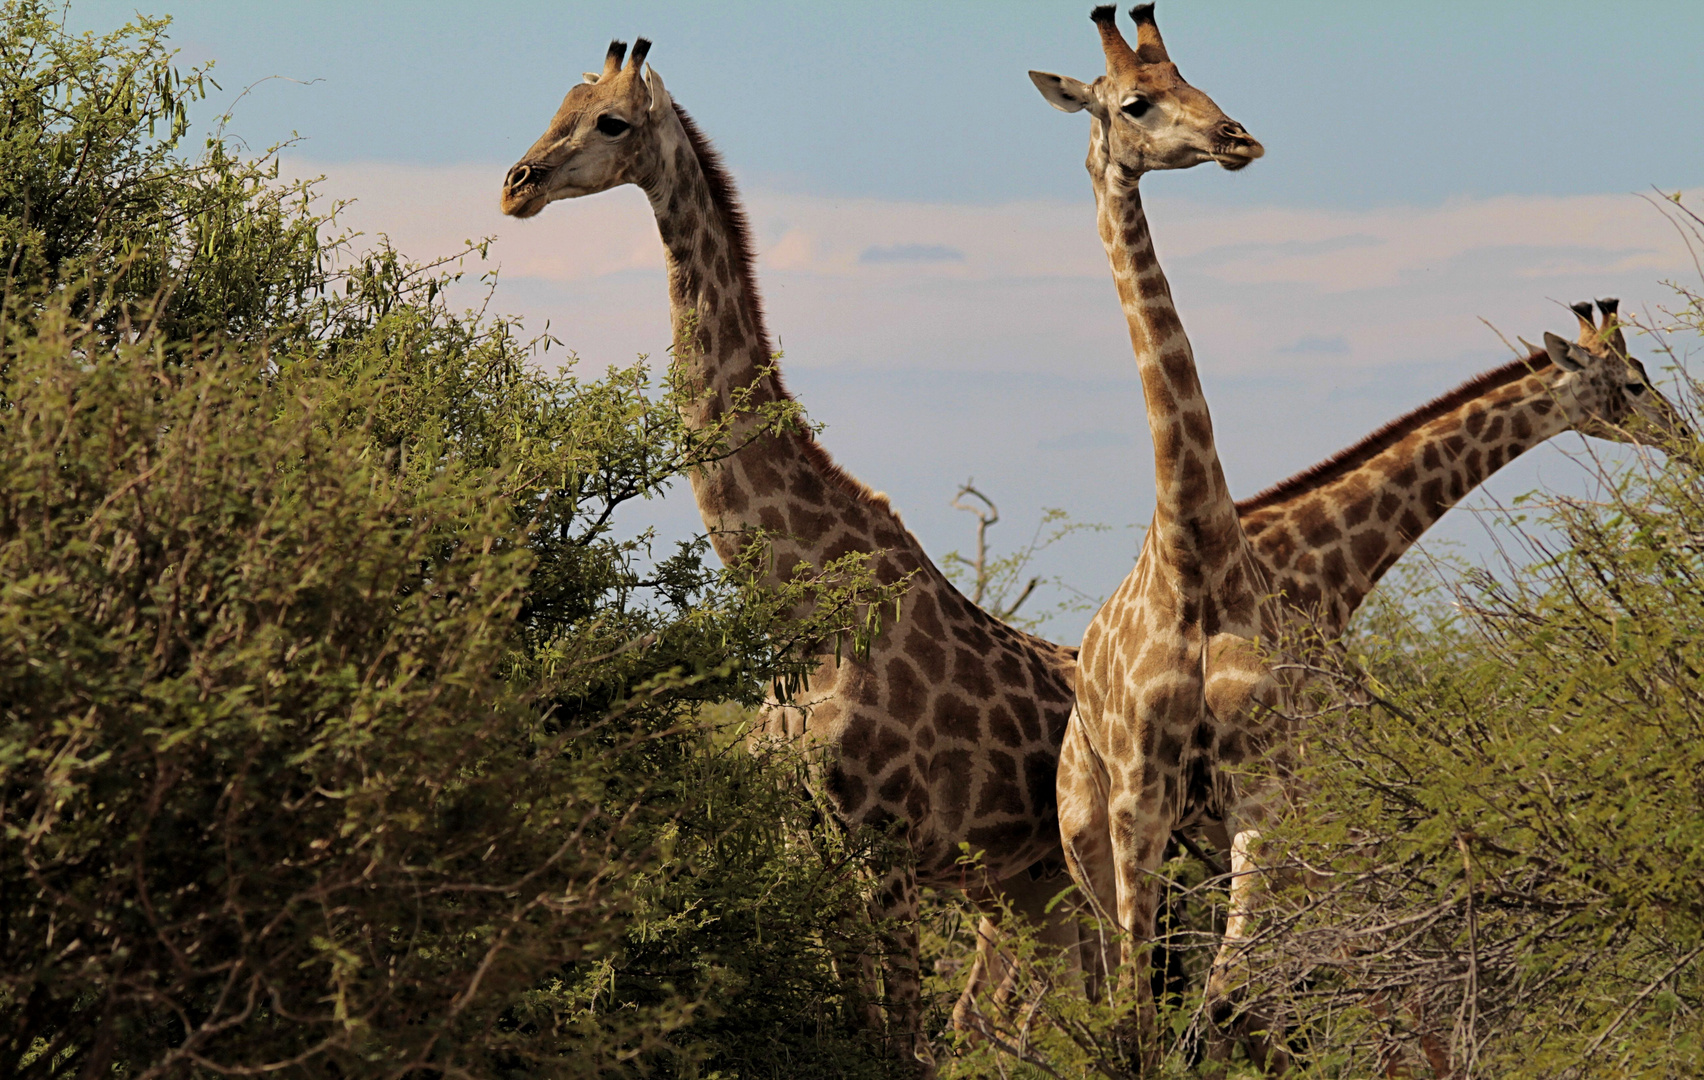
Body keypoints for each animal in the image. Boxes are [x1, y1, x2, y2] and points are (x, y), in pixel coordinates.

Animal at [497, 35, 1076, 1069]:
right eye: (554, 107)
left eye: (612, 122)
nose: (516, 185)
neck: (804, 617)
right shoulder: (811, 845)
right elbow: (863, 1035)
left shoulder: (887, 850)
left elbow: (900, 1045)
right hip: (1030, 892)